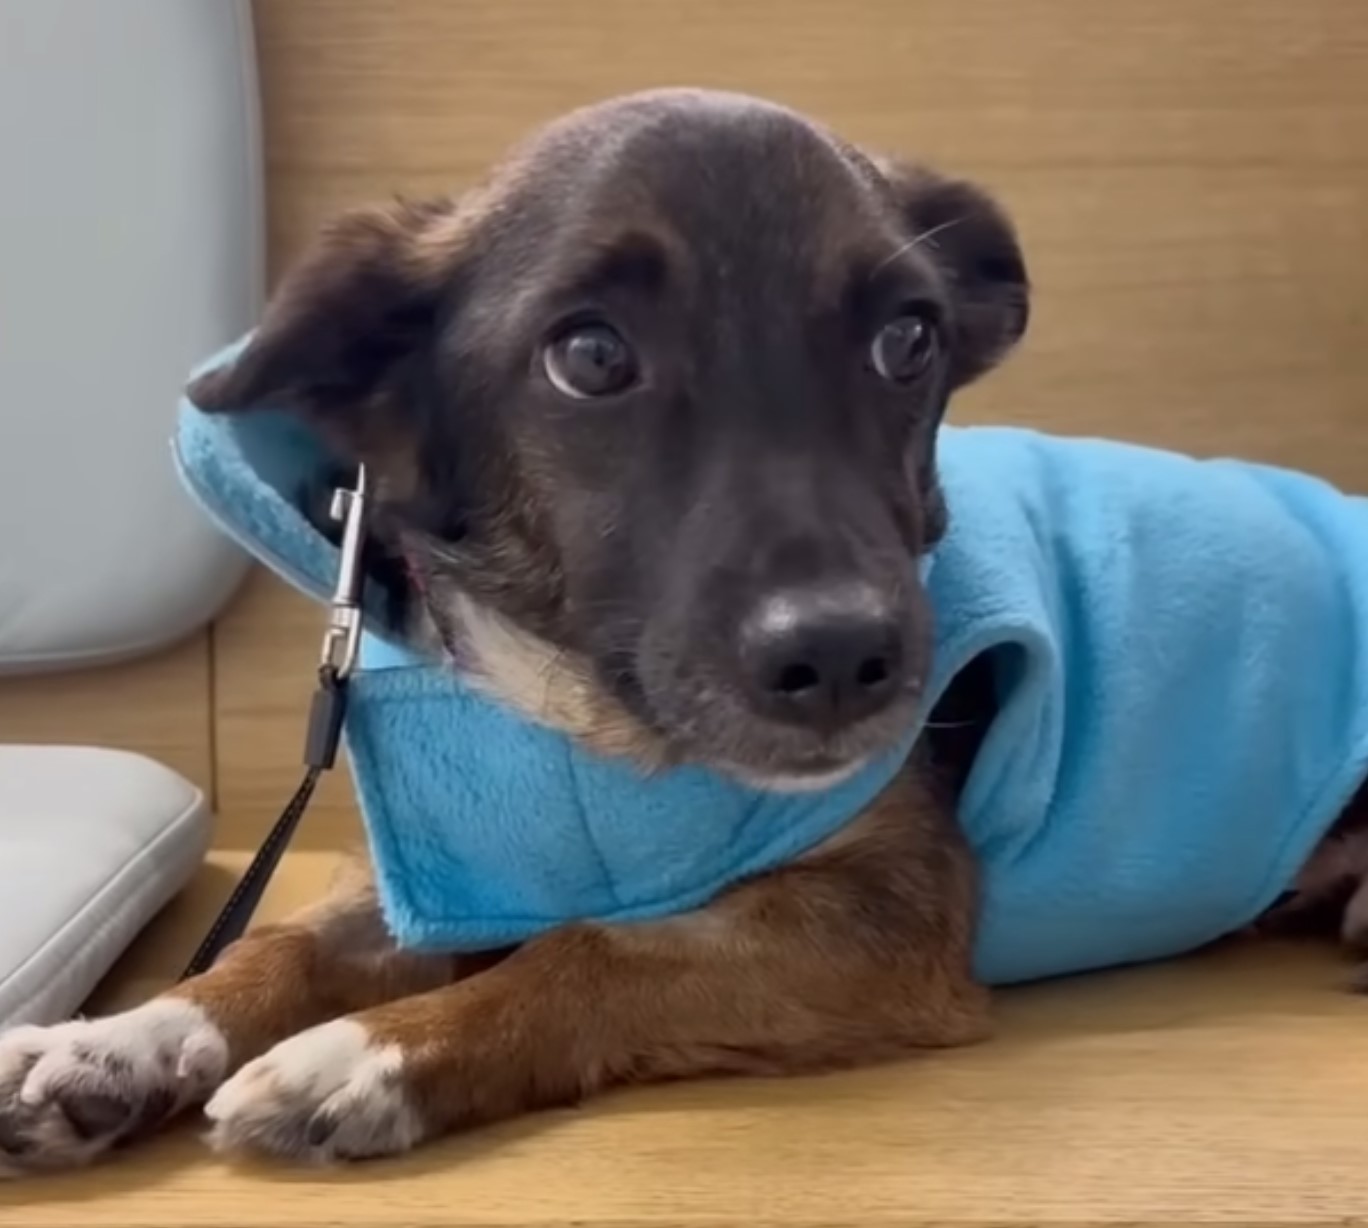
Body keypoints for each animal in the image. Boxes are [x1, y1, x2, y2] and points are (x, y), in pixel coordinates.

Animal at [2, 90, 1368, 1170]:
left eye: (908, 338)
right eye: (592, 356)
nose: (848, 660)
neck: (585, 721)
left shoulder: (887, 916)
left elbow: (602, 949)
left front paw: (375, 1053)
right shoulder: (447, 868)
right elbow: (283, 941)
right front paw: (122, 1036)